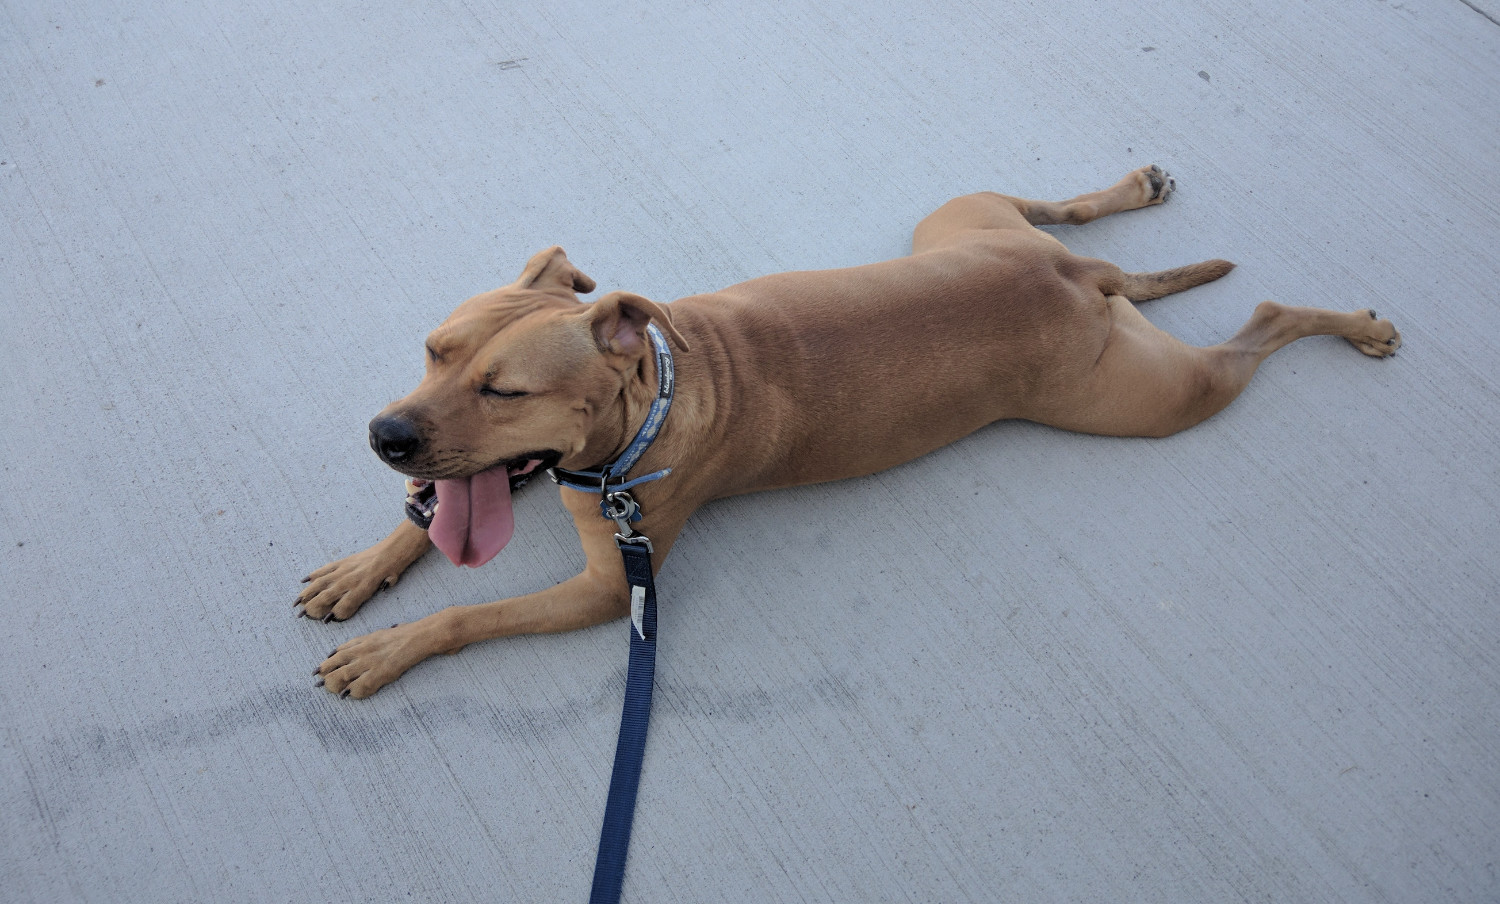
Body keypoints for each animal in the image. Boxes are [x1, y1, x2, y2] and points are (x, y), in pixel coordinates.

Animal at [298, 164, 1398, 701]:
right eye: (432, 352)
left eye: (504, 390)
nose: (384, 435)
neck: (647, 398)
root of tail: (1083, 282)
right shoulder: (509, 473)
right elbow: (426, 517)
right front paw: (366, 565)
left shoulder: (613, 587)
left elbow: (470, 614)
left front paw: (390, 649)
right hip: (967, 222)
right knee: (1069, 207)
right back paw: (1134, 189)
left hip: (1156, 402)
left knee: (1265, 324)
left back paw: (1354, 324)